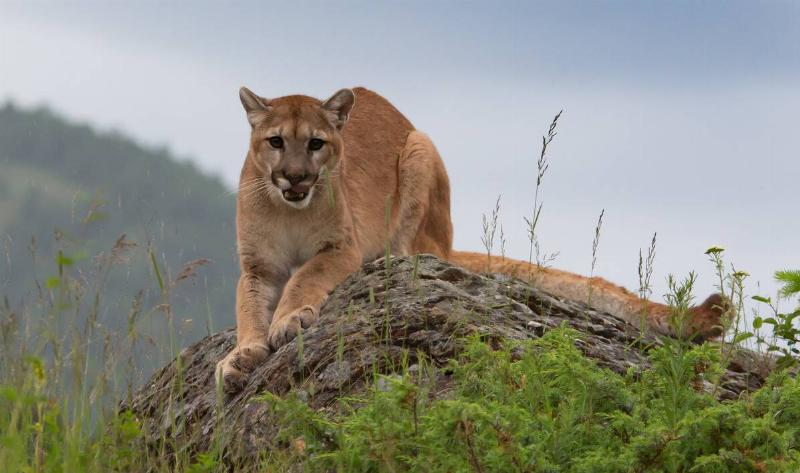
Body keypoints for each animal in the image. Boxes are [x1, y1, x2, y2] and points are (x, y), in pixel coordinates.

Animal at [216, 86, 726, 392]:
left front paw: (288, 320)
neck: (289, 210)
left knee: (423, 253)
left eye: (316, 144)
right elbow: (246, 308)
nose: (296, 177)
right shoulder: (256, 268)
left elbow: (305, 275)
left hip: (422, 151)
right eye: (276, 142)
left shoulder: (342, 247)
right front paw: (240, 356)